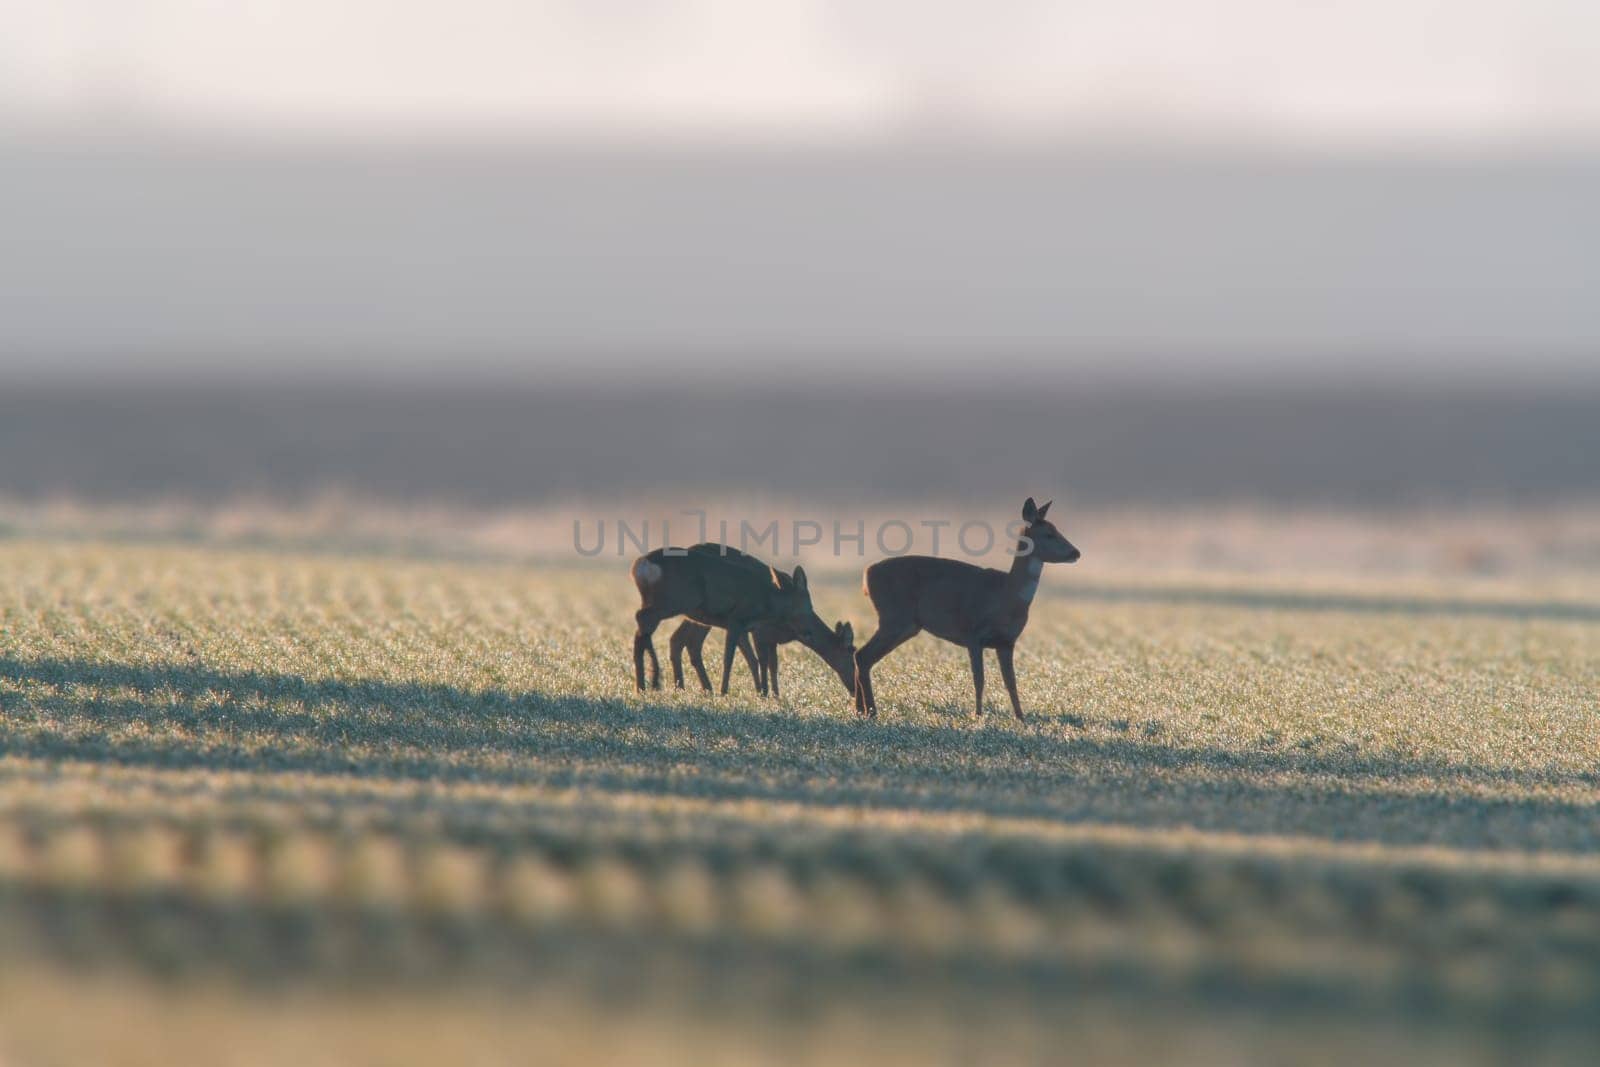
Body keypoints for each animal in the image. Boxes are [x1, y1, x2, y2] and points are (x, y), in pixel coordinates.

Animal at [627, 547, 825, 697]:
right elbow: (728, 658)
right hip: (675, 599)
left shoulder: (742, 626)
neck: (766, 601)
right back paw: (654, 681)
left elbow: (751, 659)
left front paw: (759, 692)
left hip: (663, 601)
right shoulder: (735, 619)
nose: (810, 630)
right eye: (807, 605)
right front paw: (724, 692)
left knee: (644, 626)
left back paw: (643, 685)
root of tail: (641, 564)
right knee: (642, 619)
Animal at [668, 617, 857, 700]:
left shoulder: (771, 638)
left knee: (681, 639)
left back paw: (693, 688)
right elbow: (760, 661)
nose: (856, 689)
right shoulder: (760, 631)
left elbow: (772, 664)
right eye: (853, 653)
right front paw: (764, 693)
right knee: (687, 641)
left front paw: (775, 694)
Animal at [857, 502, 1081, 723]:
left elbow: (1011, 682)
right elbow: (979, 678)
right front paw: (978, 715)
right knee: (862, 655)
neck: (1007, 595)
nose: (1076, 553)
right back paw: (870, 711)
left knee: (863, 656)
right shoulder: (973, 633)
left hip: (905, 625)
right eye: (1049, 534)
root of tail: (866, 575)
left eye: (1057, 530)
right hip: (894, 617)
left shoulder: (1007, 642)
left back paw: (862, 710)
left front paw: (1021, 718)